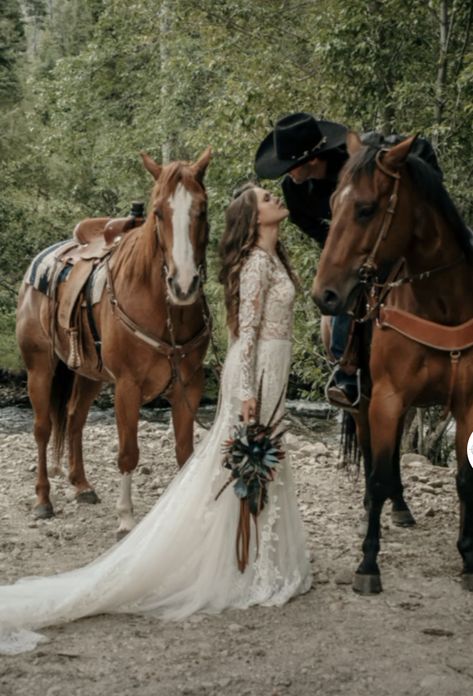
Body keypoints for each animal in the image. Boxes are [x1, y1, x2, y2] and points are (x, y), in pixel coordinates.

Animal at [16, 147, 211, 540]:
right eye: (158, 212)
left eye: (202, 209)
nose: (183, 285)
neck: (163, 307)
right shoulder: (127, 386)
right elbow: (128, 453)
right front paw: (126, 520)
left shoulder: (190, 385)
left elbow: (184, 453)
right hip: (39, 368)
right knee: (43, 429)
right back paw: (43, 500)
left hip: (89, 374)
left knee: (74, 419)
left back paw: (82, 486)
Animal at [312, 135, 472, 592]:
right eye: (332, 202)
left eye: (366, 208)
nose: (324, 294)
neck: (442, 306)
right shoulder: (385, 398)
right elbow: (379, 473)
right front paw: (368, 563)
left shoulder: (468, 406)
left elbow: (465, 480)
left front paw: (468, 556)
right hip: (364, 402)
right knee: (371, 458)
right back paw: (373, 506)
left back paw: (401, 507)